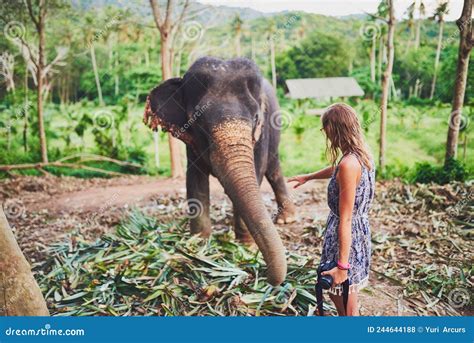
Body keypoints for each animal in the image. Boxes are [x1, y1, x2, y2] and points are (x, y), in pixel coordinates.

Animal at [143, 57, 294, 288]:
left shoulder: (262, 133)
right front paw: (198, 247)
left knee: (273, 169)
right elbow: (195, 181)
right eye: (198, 122)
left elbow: (257, 173)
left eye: (256, 118)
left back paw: (286, 219)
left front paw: (246, 247)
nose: (261, 275)